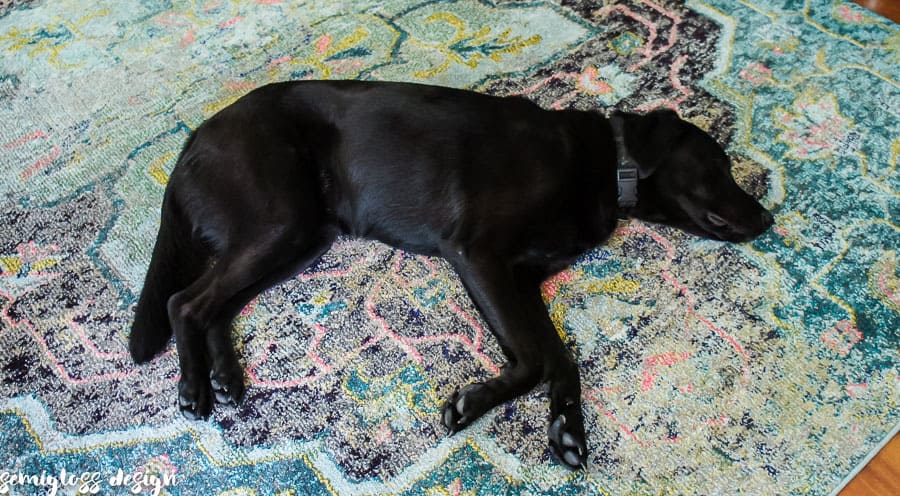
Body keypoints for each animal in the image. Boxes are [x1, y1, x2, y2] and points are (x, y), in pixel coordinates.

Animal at [128, 78, 772, 468]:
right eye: (719, 165)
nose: (768, 217)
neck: (604, 164)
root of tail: (194, 140)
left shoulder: (522, 280)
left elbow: (560, 357)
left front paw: (567, 426)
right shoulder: (478, 255)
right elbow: (534, 359)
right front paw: (473, 403)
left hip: (300, 238)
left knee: (216, 301)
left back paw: (226, 377)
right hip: (280, 221)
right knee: (185, 301)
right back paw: (193, 389)